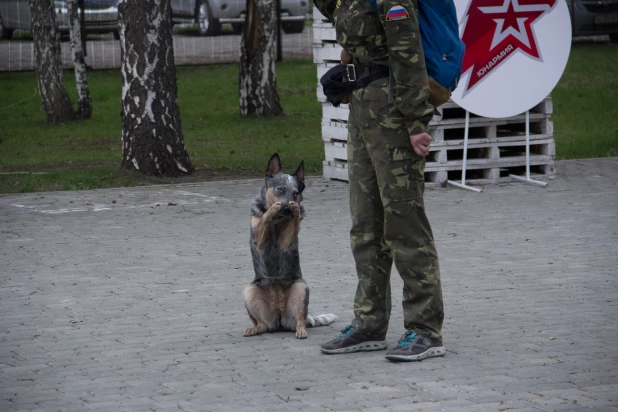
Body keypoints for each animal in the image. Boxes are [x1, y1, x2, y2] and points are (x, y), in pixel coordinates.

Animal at [242, 153, 336, 340]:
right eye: (280, 189)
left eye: (295, 193)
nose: (286, 208)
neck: (277, 222)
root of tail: (278, 316)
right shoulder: (258, 239)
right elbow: (265, 216)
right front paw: (271, 210)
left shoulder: (287, 241)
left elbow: (295, 221)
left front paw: (296, 210)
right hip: (249, 291)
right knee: (261, 325)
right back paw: (254, 329)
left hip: (301, 289)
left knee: (300, 320)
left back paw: (301, 330)